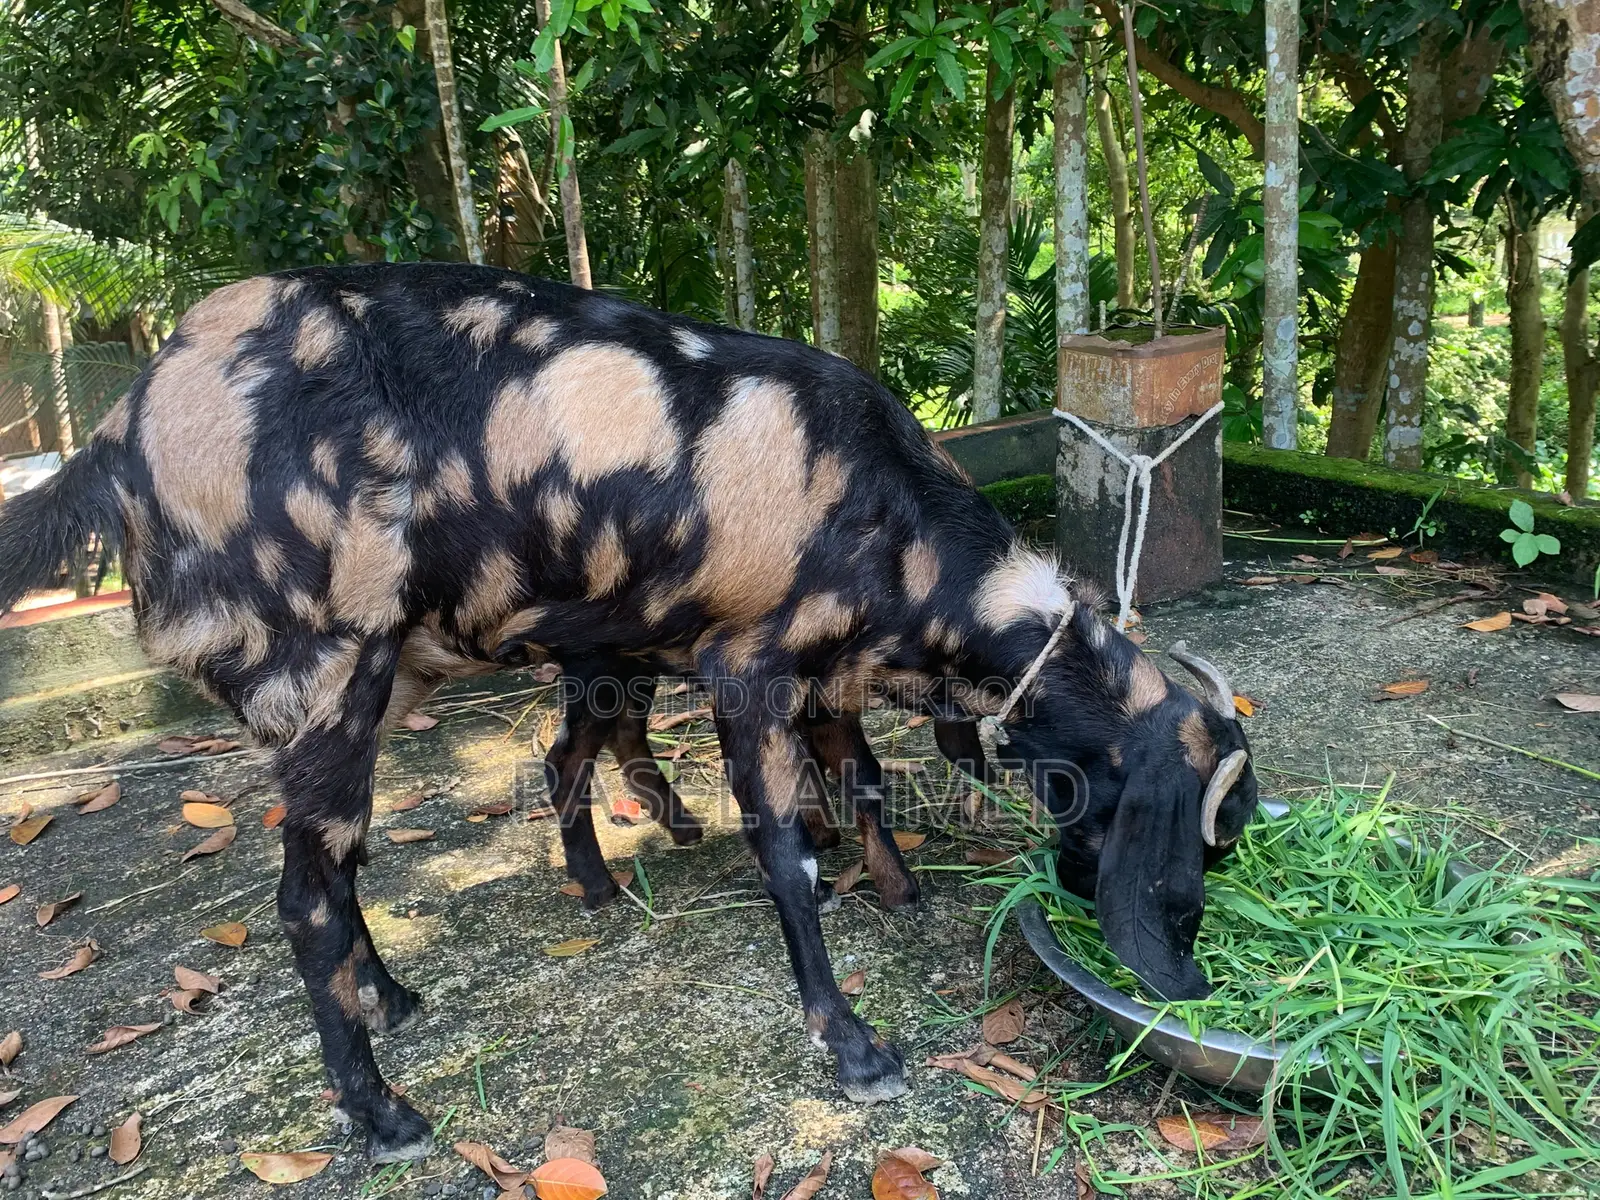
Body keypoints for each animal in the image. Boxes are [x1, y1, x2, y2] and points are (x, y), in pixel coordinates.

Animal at [0, 263, 1257, 1162]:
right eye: (1208, 844)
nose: (1187, 967)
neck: (889, 511)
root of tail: (120, 433)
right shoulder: (748, 669)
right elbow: (785, 853)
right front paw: (849, 1043)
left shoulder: (826, 677)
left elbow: (861, 783)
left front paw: (898, 892)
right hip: (334, 671)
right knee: (307, 900)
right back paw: (382, 1111)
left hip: (387, 684)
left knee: (353, 861)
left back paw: (399, 995)